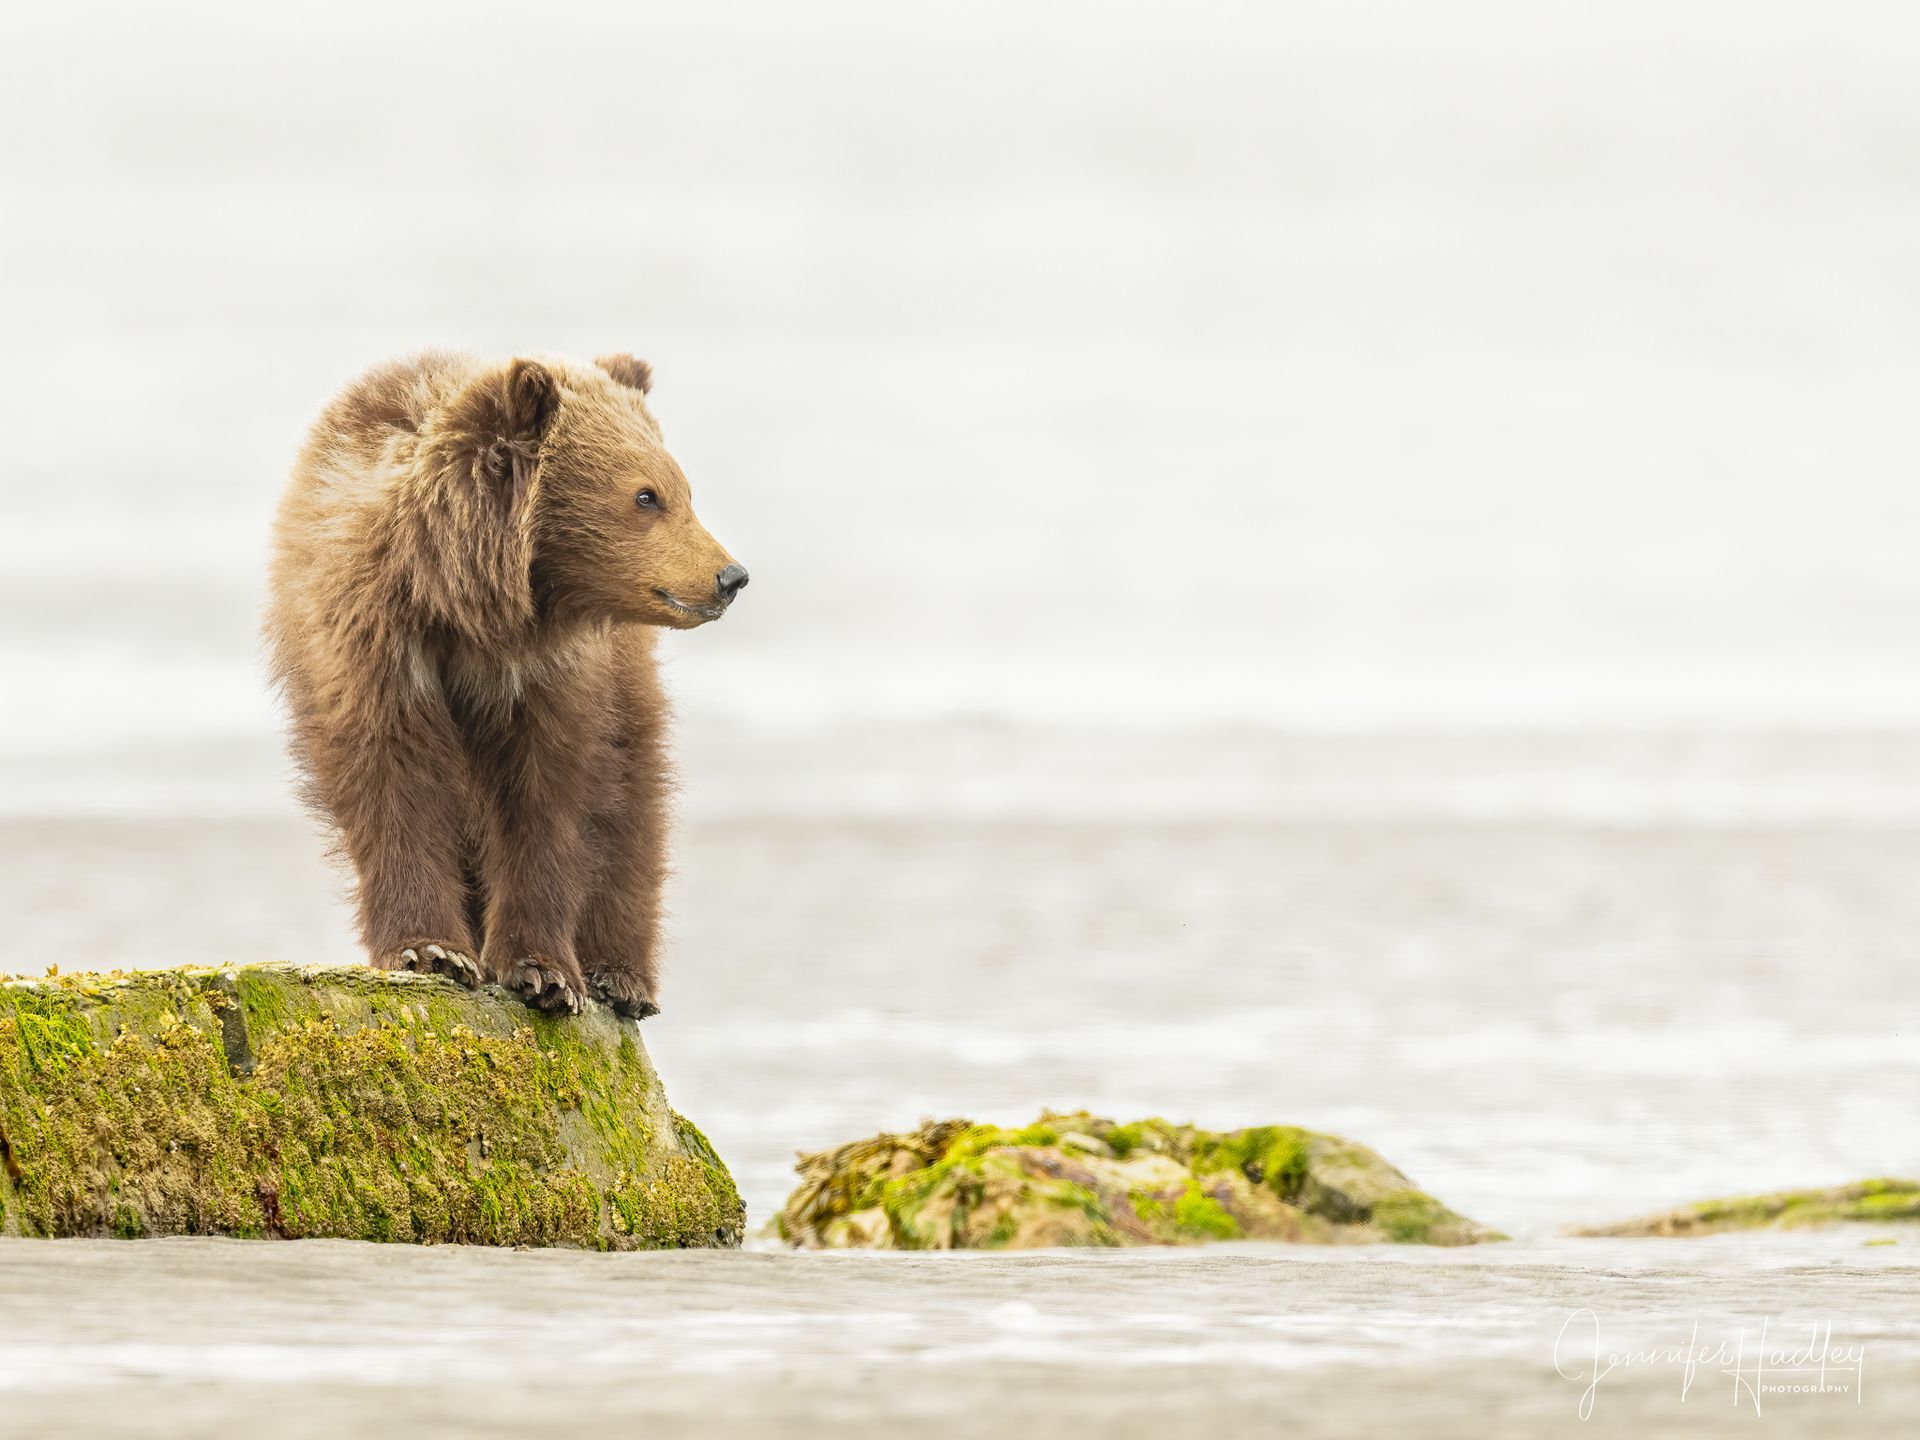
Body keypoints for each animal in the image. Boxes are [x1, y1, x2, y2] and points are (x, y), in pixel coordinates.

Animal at [265, 350, 746, 1017]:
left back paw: (621, 976)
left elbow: (546, 798)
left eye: (682, 490)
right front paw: (432, 950)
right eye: (646, 495)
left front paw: (543, 971)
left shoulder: (552, 678)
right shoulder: (371, 642)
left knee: (633, 791)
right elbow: (392, 775)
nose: (731, 575)